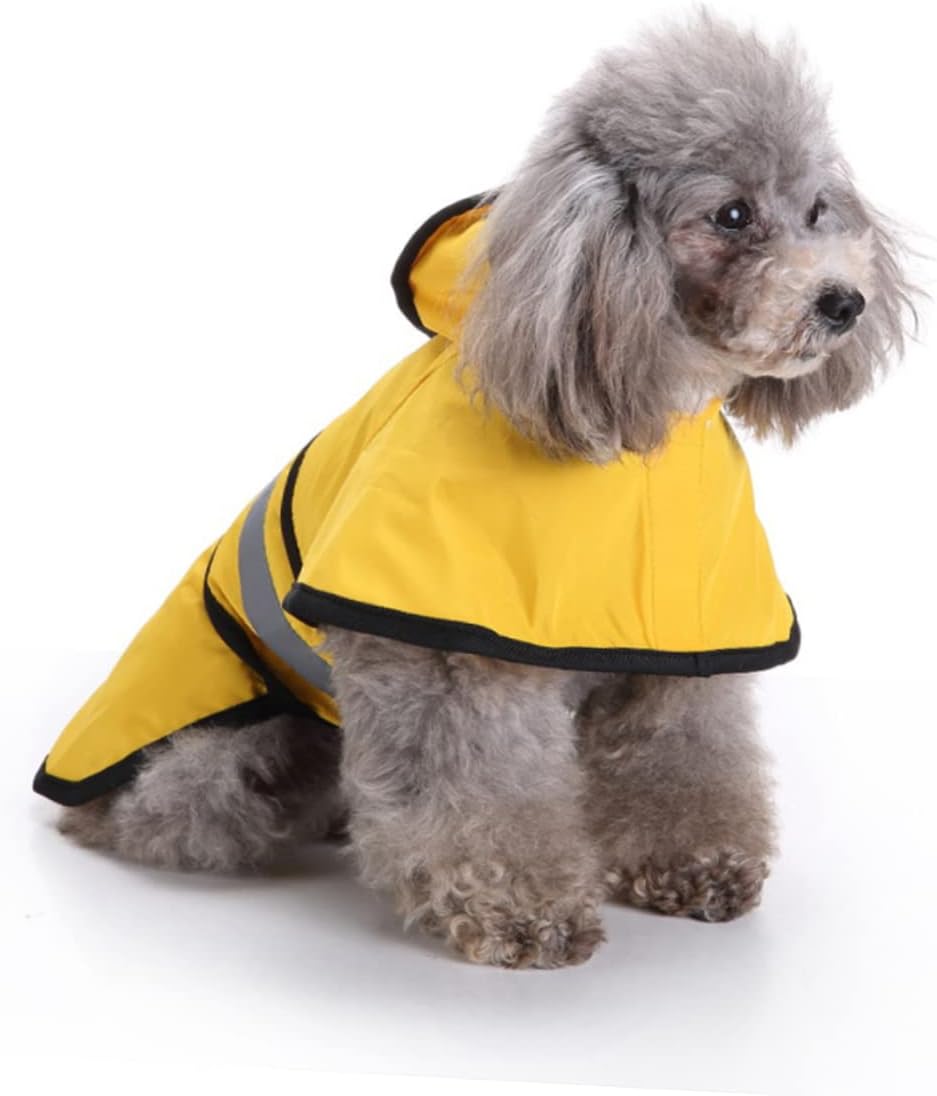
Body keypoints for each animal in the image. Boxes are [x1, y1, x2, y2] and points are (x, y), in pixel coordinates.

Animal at [38, 9, 918, 968]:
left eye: (817, 210)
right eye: (730, 215)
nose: (843, 301)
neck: (634, 420)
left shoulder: (685, 649)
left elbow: (686, 753)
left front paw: (694, 867)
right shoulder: (448, 655)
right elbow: (479, 799)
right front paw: (520, 913)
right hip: (215, 750)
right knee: (183, 803)